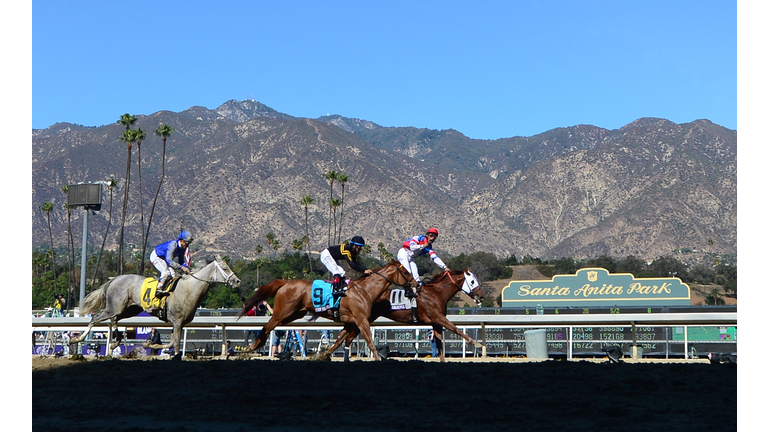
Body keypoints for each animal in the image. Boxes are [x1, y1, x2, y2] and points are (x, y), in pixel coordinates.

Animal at [71, 255, 242, 360]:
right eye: (224, 268)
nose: (237, 281)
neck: (189, 289)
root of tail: (113, 280)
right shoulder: (178, 321)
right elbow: (176, 343)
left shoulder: (178, 323)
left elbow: (171, 342)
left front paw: (151, 344)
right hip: (116, 307)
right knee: (96, 317)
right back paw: (78, 338)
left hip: (130, 309)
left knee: (114, 320)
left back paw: (115, 343)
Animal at [242, 260, 420, 362]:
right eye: (405, 271)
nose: (416, 284)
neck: (364, 290)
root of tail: (285, 282)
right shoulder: (361, 320)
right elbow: (370, 341)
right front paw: (377, 359)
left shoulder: (350, 323)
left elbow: (338, 341)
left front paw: (322, 355)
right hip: (283, 312)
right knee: (268, 326)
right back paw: (250, 349)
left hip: (293, 314)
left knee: (269, 326)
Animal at [326, 268, 484, 362]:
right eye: (472, 281)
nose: (481, 296)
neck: (436, 293)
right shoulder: (438, 317)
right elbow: (456, 329)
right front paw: (476, 343)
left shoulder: (436, 323)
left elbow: (439, 344)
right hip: (362, 318)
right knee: (348, 337)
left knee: (347, 337)